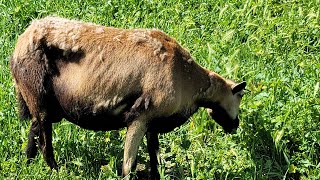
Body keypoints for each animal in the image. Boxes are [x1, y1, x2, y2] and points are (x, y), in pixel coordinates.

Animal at [9, 16, 245, 179]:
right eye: (241, 97)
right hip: (38, 98)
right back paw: (57, 171)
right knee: (44, 143)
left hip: (40, 103)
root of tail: (20, 43)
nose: (235, 126)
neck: (189, 81)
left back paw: (27, 165)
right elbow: (129, 164)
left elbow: (155, 157)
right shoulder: (139, 117)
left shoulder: (153, 123)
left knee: (33, 132)